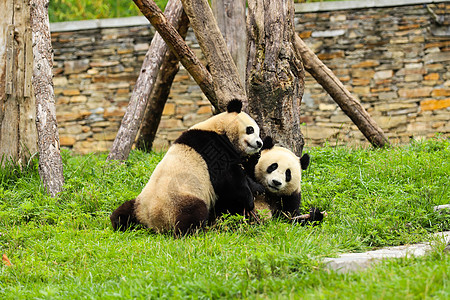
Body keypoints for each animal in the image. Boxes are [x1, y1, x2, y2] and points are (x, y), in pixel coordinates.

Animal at [110, 99, 264, 236]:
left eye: (258, 132)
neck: (219, 127)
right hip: (181, 201)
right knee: (194, 214)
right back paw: (191, 232)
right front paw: (249, 201)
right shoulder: (213, 147)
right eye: (250, 129)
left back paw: (119, 222)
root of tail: (155, 221)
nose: (259, 143)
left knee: (122, 213)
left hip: (140, 204)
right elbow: (229, 181)